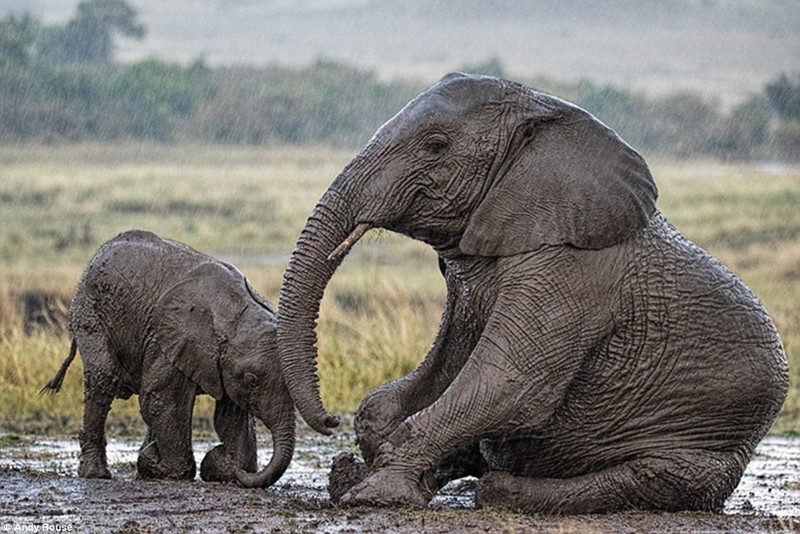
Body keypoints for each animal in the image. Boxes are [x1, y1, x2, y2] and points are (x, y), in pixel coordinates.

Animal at [43, 228, 296, 488]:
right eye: (252, 380)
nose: (223, 456)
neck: (237, 313)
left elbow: (230, 418)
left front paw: (226, 465)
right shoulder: (171, 339)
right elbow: (162, 400)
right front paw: (165, 464)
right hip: (90, 312)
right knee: (103, 379)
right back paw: (98, 474)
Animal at [276, 72, 788, 516]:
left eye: (436, 146)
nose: (328, 421)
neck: (547, 119)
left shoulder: (571, 272)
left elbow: (508, 384)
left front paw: (375, 494)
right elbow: (420, 385)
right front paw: (360, 473)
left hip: (703, 450)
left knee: (644, 477)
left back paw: (501, 490)